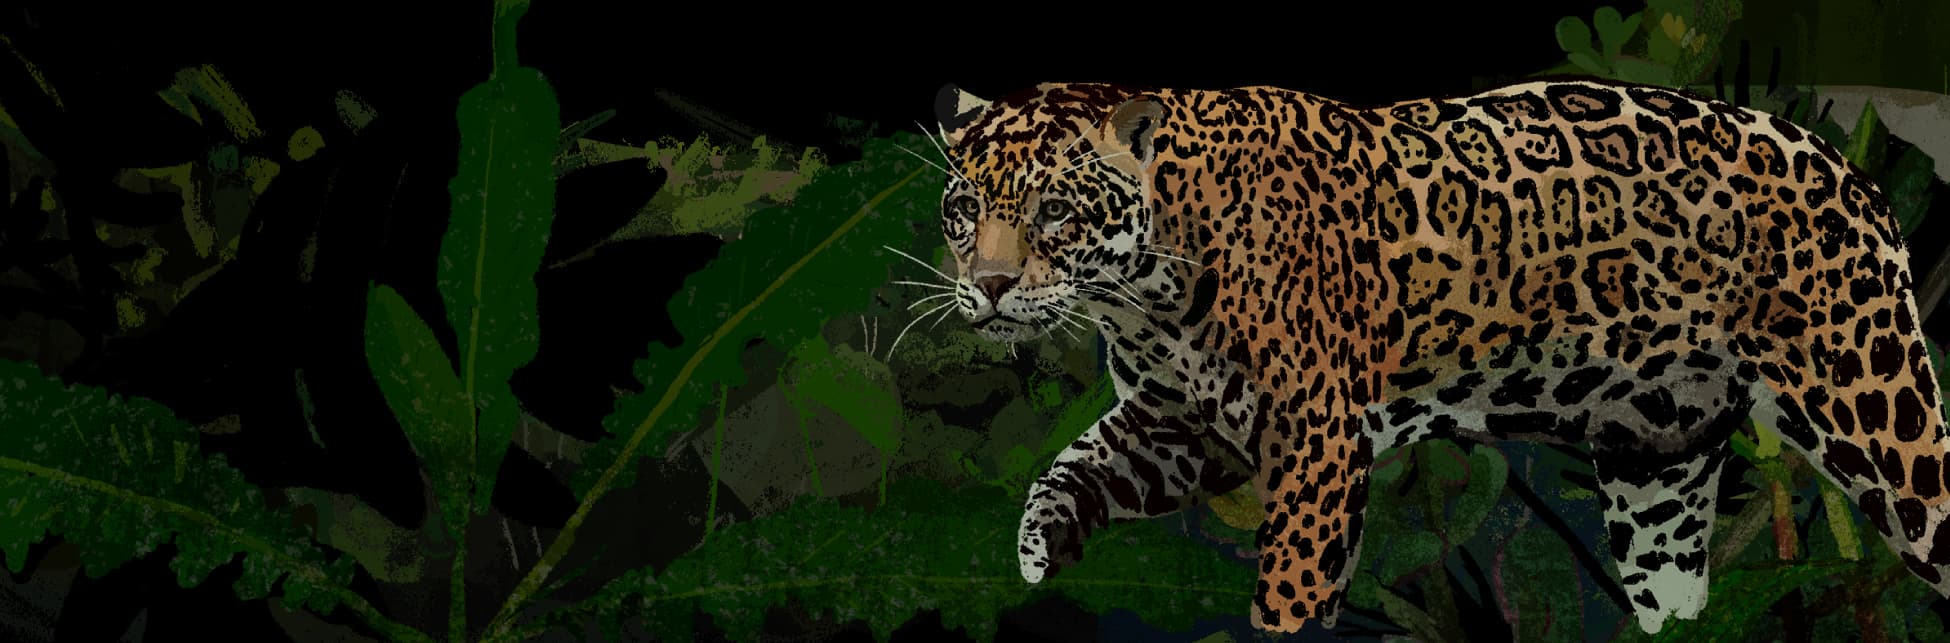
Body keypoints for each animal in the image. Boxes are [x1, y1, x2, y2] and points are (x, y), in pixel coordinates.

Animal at [921, 78, 1950, 635]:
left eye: (1056, 210)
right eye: (964, 208)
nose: (991, 287)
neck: (1140, 295)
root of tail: (1858, 173)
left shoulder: (1317, 443)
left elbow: (1291, 589)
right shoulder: (1180, 430)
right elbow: (1071, 467)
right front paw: (1038, 551)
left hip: (1880, 418)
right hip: (1656, 467)